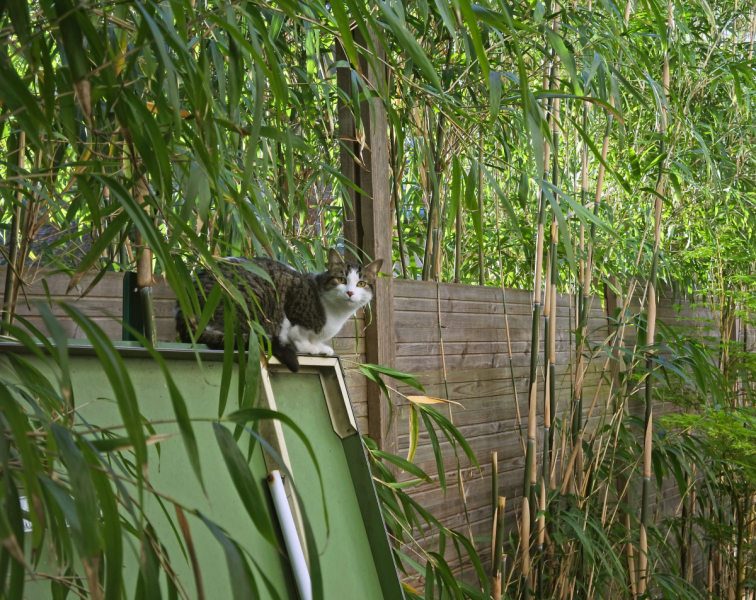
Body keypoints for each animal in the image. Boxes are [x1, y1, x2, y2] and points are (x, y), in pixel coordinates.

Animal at [174, 248, 380, 370]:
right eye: (341, 280)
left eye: (361, 283)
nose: (350, 292)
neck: (336, 313)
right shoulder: (293, 303)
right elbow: (298, 333)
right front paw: (310, 348)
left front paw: (320, 347)